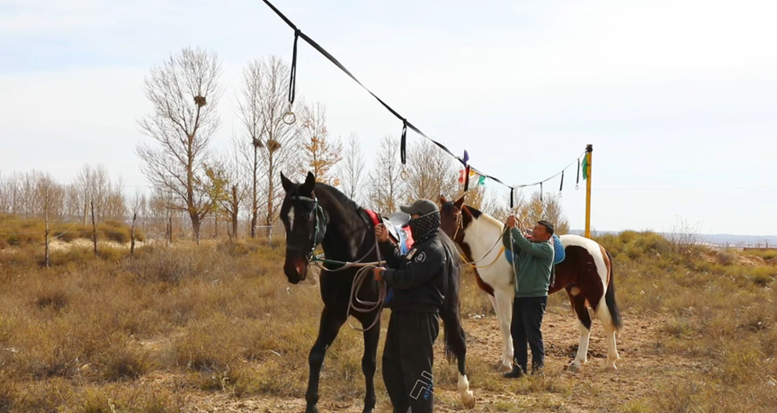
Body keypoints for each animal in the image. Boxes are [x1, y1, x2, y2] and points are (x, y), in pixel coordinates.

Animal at [278, 172, 472, 412]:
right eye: (283, 217)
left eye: (306, 218)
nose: (292, 270)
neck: (353, 253)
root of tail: (444, 239)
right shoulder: (334, 312)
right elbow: (316, 354)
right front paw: (312, 404)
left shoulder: (371, 318)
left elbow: (368, 363)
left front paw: (369, 405)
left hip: (450, 305)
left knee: (460, 339)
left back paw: (466, 392)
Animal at [440, 195, 620, 372]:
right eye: (440, 215)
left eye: (455, 217)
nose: (442, 239)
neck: (489, 245)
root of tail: (600, 249)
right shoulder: (493, 295)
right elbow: (502, 326)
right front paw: (504, 360)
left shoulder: (503, 295)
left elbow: (506, 325)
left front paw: (507, 363)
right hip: (577, 293)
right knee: (585, 324)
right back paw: (577, 363)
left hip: (595, 294)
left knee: (607, 322)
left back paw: (611, 363)